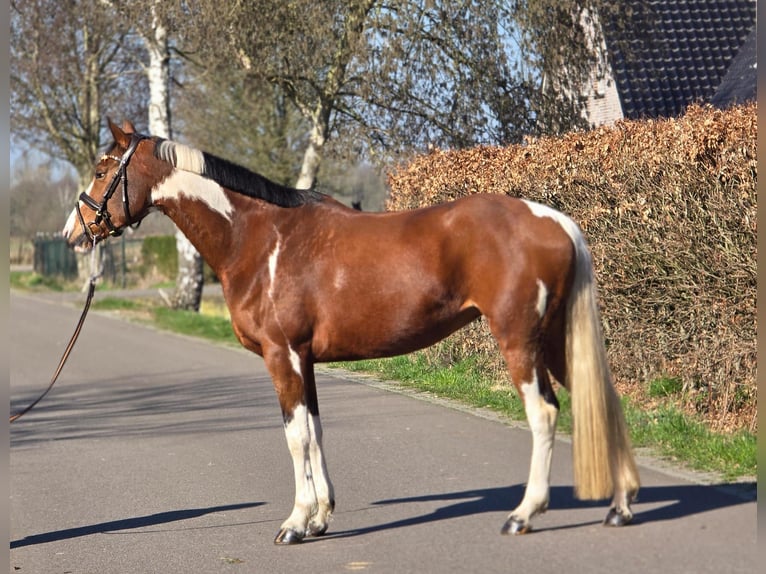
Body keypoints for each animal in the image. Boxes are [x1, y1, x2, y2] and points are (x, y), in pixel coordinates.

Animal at [63, 119, 640, 544]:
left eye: (101, 169)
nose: (74, 233)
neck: (259, 237)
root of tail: (552, 218)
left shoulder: (282, 356)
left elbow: (295, 436)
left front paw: (295, 523)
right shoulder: (304, 359)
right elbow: (315, 431)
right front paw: (321, 517)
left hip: (520, 339)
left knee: (544, 414)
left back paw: (524, 514)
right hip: (557, 339)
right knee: (601, 399)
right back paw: (619, 506)